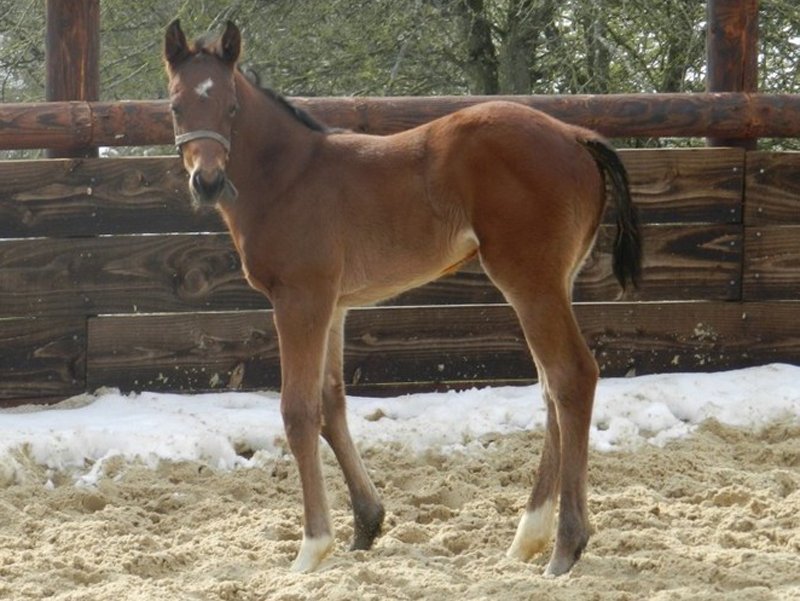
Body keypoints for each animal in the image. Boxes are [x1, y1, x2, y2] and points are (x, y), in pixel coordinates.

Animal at [163, 19, 641, 576]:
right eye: (175, 106)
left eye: (232, 107)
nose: (208, 181)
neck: (290, 176)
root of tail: (576, 136)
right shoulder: (334, 304)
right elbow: (332, 403)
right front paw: (366, 524)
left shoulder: (299, 299)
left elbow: (298, 411)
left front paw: (311, 547)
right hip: (553, 282)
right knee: (551, 387)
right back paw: (528, 537)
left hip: (529, 279)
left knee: (571, 377)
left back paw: (565, 546)